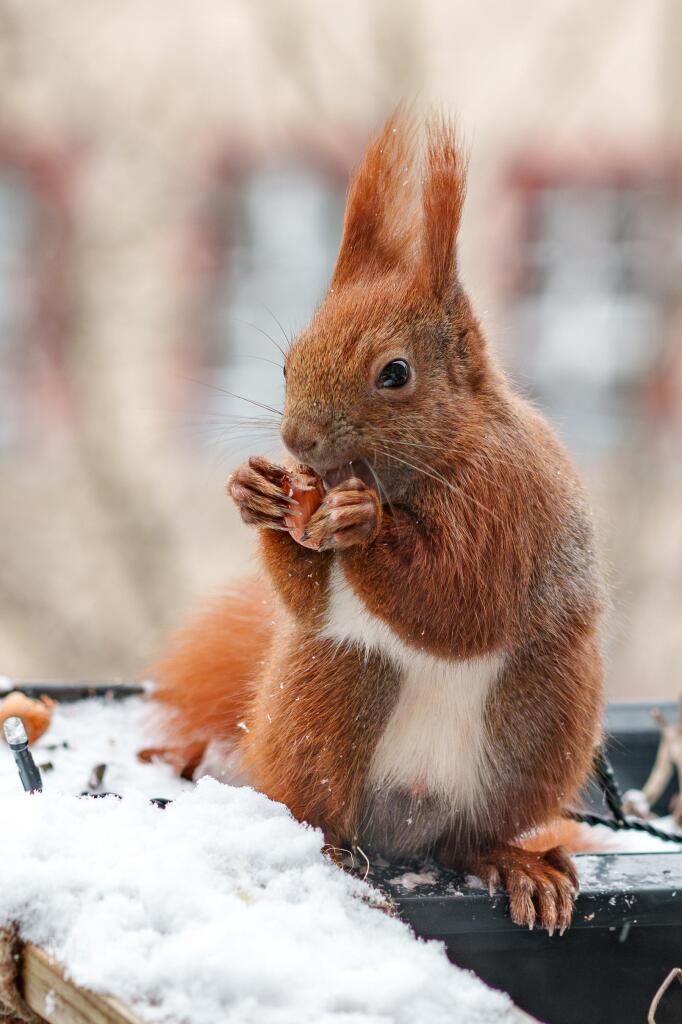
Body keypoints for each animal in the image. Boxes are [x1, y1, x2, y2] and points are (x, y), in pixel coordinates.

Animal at [150, 111, 605, 935]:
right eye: (288, 364)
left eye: (395, 374)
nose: (298, 441)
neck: (423, 472)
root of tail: (409, 824)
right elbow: (309, 600)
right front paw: (255, 494)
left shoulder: (512, 509)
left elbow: (461, 603)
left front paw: (364, 524)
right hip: (332, 693)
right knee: (329, 807)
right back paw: (333, 850)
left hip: (537, 721)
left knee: (470, 839)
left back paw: (514, 863)